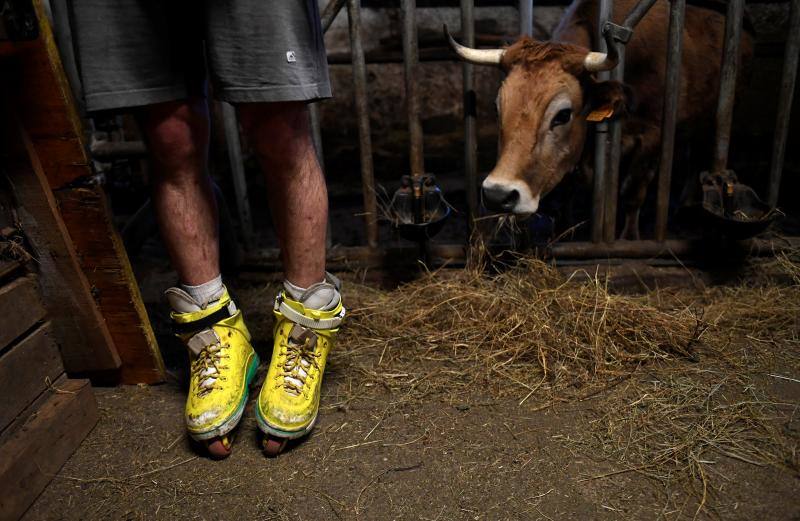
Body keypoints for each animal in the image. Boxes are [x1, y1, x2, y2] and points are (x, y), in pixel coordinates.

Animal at [446, 0, 752, 240]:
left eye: (563, 114)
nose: (498, 195)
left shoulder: (652, 137)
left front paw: (628, 237)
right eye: (498, 108)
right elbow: (571, 188)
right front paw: (565, 230)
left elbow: (632, 193)